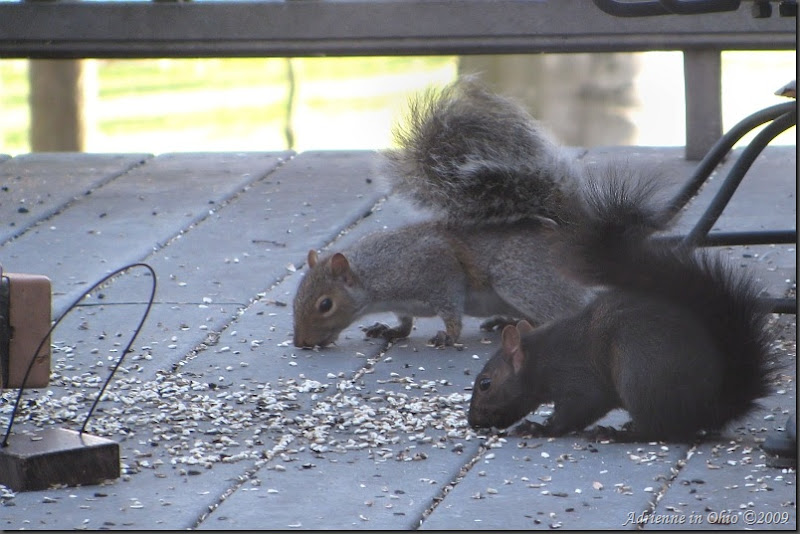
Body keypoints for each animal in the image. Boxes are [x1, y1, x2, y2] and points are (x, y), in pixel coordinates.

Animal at [290, 77, 592, 350]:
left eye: (325, 304)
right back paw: (506, 321)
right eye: (297, 296)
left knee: (559, 312)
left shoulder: (439, 271)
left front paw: (448, 335)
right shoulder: (403, 303)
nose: (301, 342)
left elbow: (451, 310)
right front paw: (390, 329)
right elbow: (405, 321)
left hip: (520, 278)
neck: (373, 275)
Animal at [468, 172, 776, 444]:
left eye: (485, 384)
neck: (540, 356)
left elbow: (578, 409)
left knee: (657, 429)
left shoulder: (577, 377)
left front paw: (539, 428)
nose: (472, 422)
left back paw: (617, 433)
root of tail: (712, 407)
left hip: (640, 376)